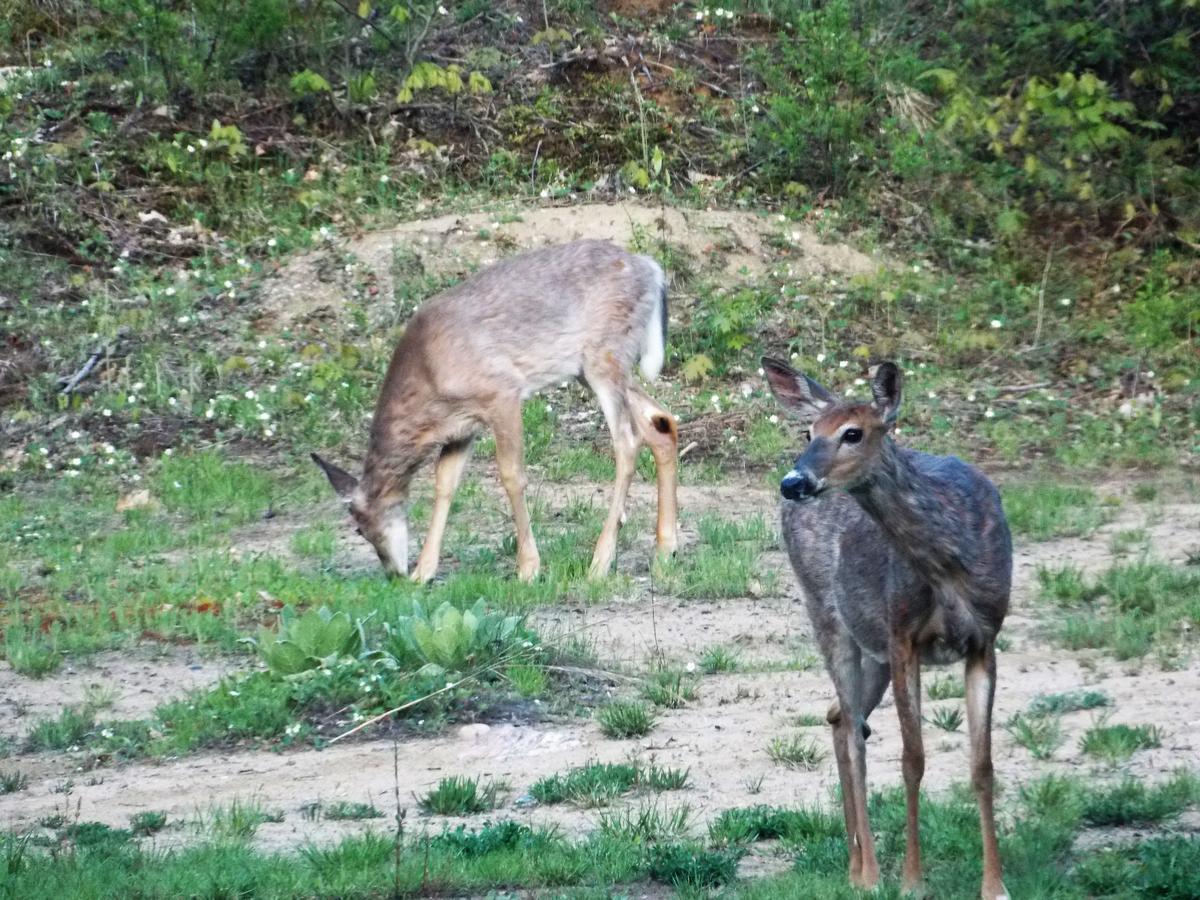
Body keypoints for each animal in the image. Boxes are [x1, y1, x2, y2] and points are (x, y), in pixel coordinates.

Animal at [309, 237, 681, 585]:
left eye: (360, 528)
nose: (394, 574)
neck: (430, 381)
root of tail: (652, 269)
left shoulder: (502, 392)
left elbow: (511, 475)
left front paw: (528, 569)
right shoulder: (462, 428)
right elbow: (445, 484)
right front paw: (424, 572)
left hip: (604, 355)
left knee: (627, 441)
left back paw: (599, 563)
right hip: (591, 369)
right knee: (660, 422)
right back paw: (664, 553)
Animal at [763, 357, 1008, 900]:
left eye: (853, 433)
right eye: (809, 430)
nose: (794, 481)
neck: (950, 564)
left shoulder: (985, 640)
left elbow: (982, 765)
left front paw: (995, 885)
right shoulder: (902, 636)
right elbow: (912, 758)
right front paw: (913, 880)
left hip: (869, 648)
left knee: (839, 719)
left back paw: (855, 866)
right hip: (827, 614)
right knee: (854, 732)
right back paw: (872, 873)